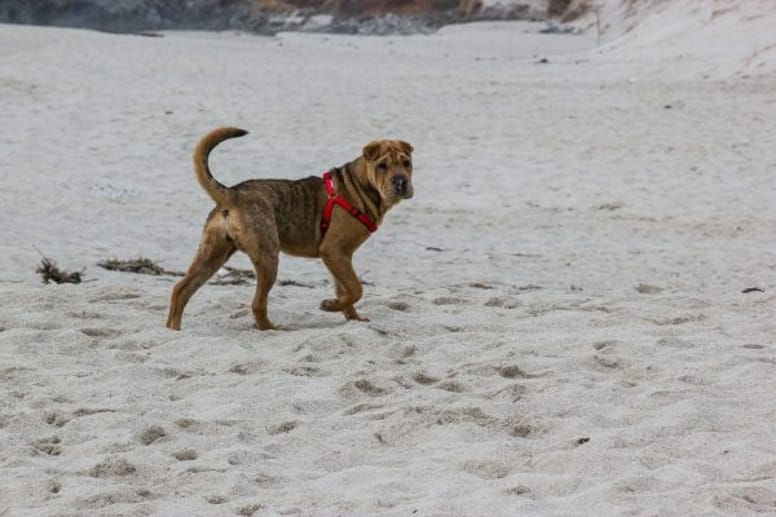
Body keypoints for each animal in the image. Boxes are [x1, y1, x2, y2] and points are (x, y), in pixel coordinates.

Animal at [167, 129, 416, 330]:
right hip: (268, 256)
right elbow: (356, 288)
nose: (401, 182)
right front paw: (331, 306)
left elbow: (345, 290)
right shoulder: (334, 251)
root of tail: (233, 194)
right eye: (382, 166)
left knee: (181, 289)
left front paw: (350, 316)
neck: (360, 187)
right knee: (257, 304)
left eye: (406, 163)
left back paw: (174, 330)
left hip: (212, 254)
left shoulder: (340, 257)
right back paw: (271, 329)